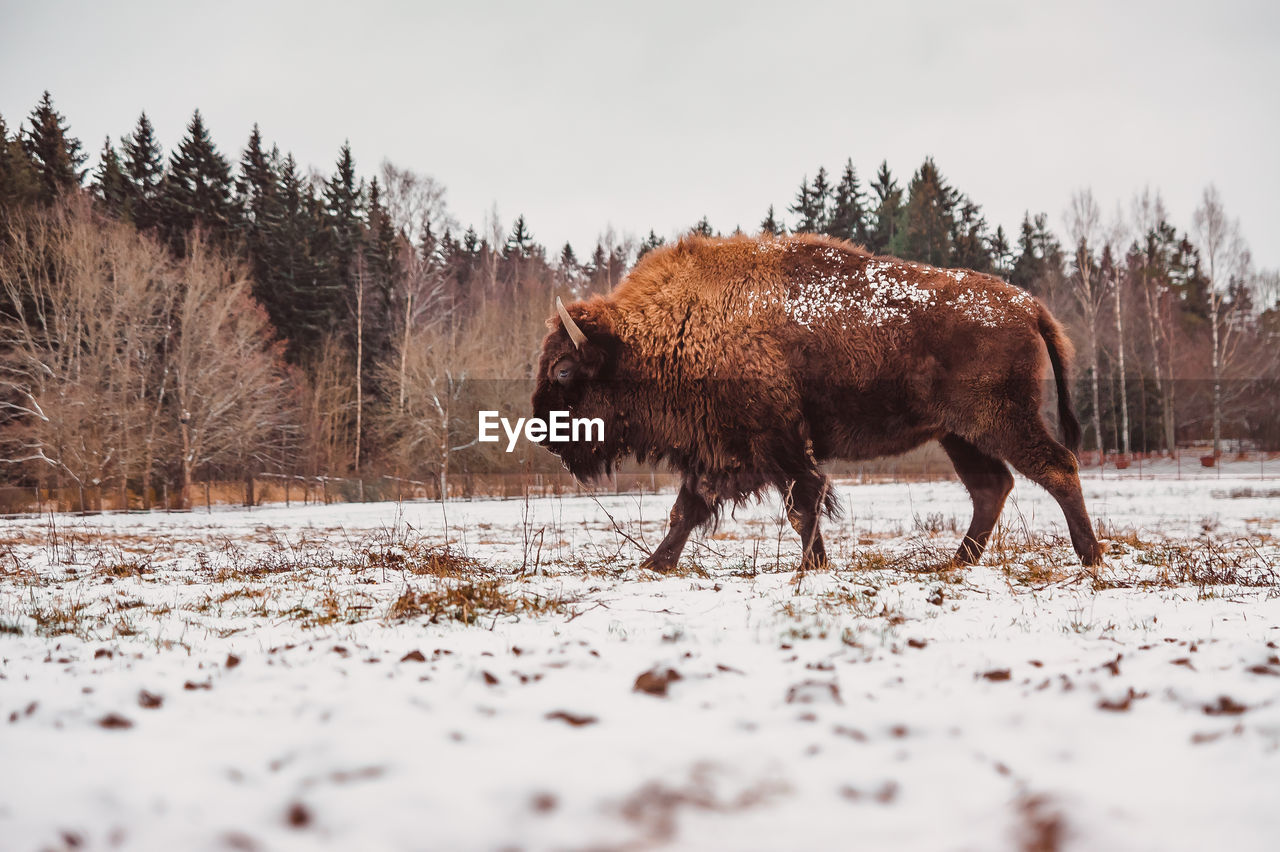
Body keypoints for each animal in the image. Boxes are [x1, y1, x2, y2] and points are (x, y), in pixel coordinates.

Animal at [535, 232, 1105, 570]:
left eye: (564, 370)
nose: (543, 431)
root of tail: (1029, 305)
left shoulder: (777, 445)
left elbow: (801, 505)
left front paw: (811, 565)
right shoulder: (721, 452)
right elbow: (687, 510)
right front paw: (654, 565)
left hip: (1001, 421)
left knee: (1057, 467)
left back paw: (1090, 555)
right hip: (958, 434)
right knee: (993, 486)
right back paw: (957, 561)